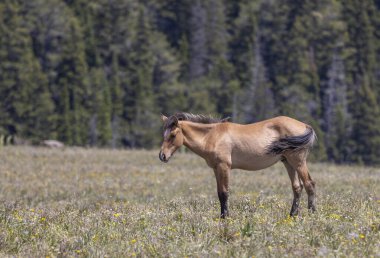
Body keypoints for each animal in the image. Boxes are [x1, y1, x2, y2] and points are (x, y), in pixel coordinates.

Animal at [159, 112, 316, 218]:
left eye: (173, 135)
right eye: (163, 134)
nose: (162, 156)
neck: (212, 136)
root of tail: (305, 126)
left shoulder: (224, 167)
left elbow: (224, 193)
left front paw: (225, 218)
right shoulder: (216, 169)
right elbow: (219, 193)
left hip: (298, 161)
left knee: (309, 184)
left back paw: (312, 214)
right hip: (288, 162)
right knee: (297, 187)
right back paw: (292, 216)